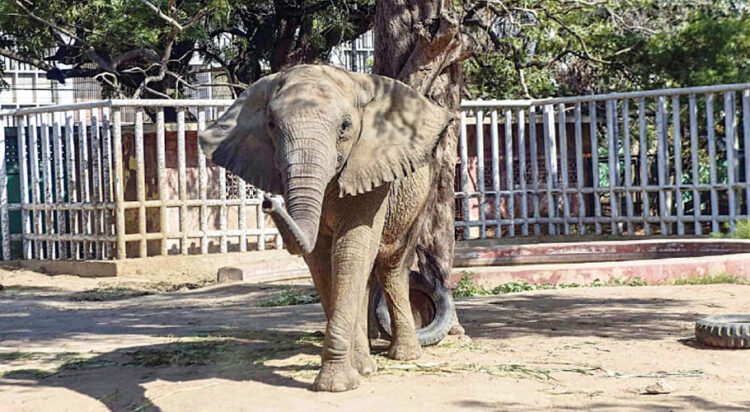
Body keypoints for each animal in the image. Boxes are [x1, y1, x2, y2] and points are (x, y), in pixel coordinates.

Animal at [199, 65, 454, 392]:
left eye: (345, 126)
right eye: (271, 124)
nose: (268, 202)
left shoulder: (370, 167)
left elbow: (351, 249)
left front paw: (337, 384)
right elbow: (321, 258)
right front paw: (350, 374)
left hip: (422, 193)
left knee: (391, 265)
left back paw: (405, 356)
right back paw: (367, 363)